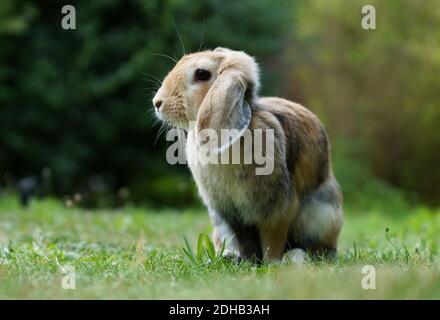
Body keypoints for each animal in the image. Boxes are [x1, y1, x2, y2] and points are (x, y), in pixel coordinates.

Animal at [152, 47, 344, 262]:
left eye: (201, 74)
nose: (157, 103)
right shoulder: (227, 212)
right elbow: (241, 239)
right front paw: (243, 259)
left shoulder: (276, 210)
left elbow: (272, 242)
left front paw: (272, 263)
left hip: (321, 217)